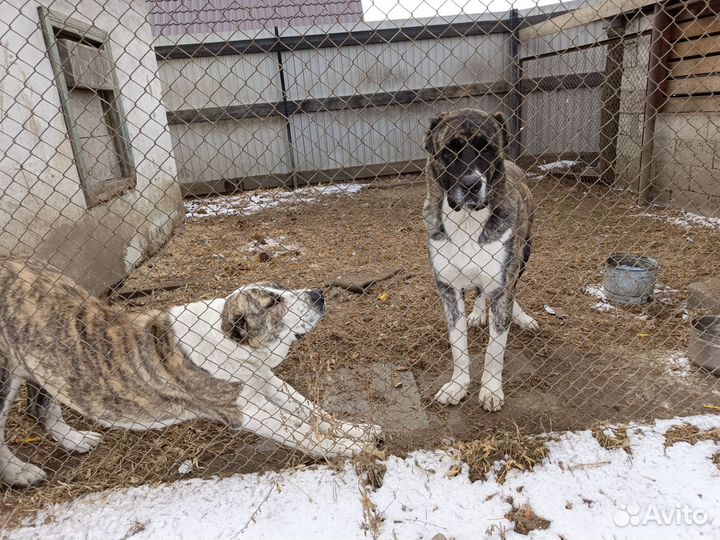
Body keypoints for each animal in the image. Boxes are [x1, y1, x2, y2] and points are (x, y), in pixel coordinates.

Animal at [0, 255, 382, 488]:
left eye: (283, 288)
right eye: (273, 302)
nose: (318, 294)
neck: (235, 344)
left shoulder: (265, 382)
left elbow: (311, 411)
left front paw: (357, 430)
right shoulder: (247, 410)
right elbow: (302, 431)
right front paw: (352, 448)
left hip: (45, 361)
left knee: (40, 408)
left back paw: (74, 440)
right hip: (5, 376)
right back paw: (20, 473)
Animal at [424, 107, 536, 412]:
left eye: (487, 150)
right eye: (449, 151)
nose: (471, 185)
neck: (467, 220)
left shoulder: (501, 284)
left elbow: (495, 347)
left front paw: (491, 390)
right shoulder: (448, 290)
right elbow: (458, 345)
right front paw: (458, 385)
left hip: (524, 254)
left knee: (513, 288)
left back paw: (520, 316)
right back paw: (477, 312)